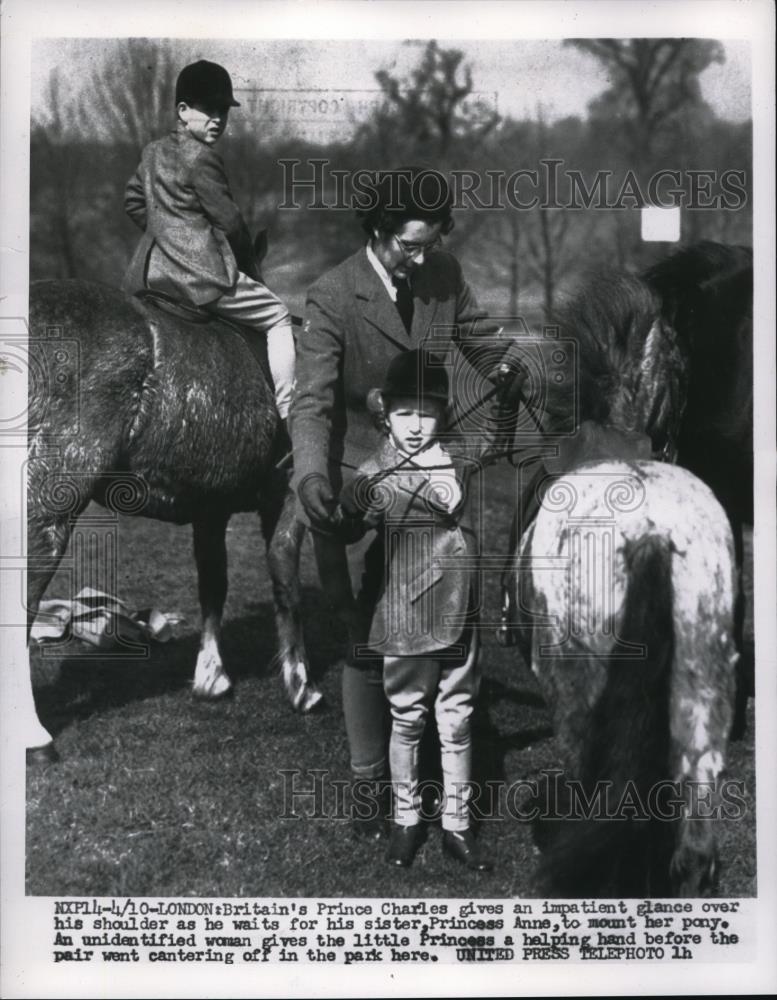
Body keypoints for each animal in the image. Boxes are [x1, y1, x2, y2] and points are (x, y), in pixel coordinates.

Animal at [23, 280, 322, 756]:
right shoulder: (291, 494)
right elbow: (284, 574)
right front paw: (301, 685)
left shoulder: (211, 508)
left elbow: (213, 585)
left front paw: (211, 676)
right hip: (47, 509)